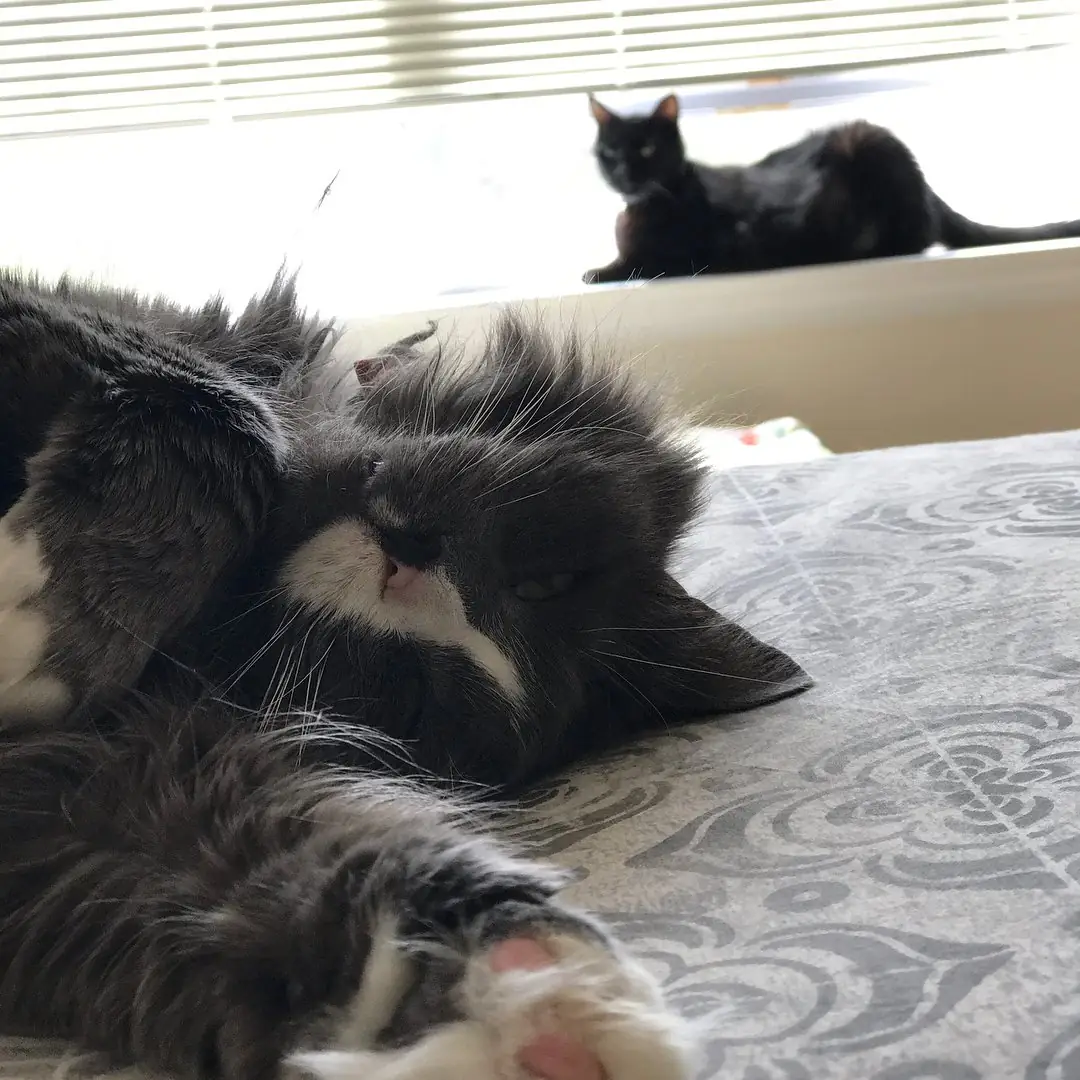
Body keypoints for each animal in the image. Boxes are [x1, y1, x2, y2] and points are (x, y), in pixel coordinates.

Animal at [0, 268, 811, 1079]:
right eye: (545, 580)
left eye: (411, 690)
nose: (408, 562)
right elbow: (215, 404)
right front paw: (39, 621)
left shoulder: (101, 782)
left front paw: (531, 1000)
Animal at [583, 93, 1080, 284]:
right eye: (609, 151)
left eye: (646, 149)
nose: (624, 173)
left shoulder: (705, 250)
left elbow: (641, 263)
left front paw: (599, 271)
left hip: (865, 143)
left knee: (917, 236)